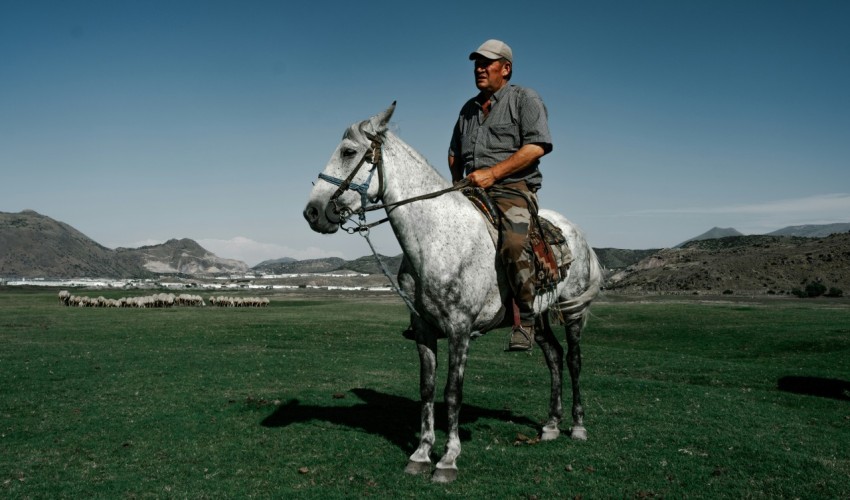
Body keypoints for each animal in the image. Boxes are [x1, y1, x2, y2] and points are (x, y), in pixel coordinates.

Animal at [303, 103, 602, 483]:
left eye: (348, 152)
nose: (312, 212)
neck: (435, 240)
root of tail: (577, 233)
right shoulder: (423, 329)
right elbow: (428, 388)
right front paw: (420, 454)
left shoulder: (460, 329)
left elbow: (452, 392)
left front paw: (448, 459)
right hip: (538, 315)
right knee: (553, 355)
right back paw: (550, 425)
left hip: (572, 309)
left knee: (574, 359)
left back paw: (577, 426)